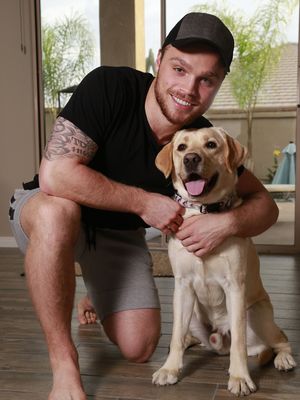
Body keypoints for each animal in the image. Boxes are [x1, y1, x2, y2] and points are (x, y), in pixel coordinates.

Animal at [152, 128, 296, 396]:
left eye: (211, 145)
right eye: (181, 147)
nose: (190, 159)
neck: (203, 212)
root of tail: (218, 342)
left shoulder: (235, 287)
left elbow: (239, 342)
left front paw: (239, 377)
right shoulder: (183, 286)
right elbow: (176, 334)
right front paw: (170, 369)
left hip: (257, 315)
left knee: (280, 340)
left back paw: (284, 359)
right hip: (192, 313)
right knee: (188, 335)